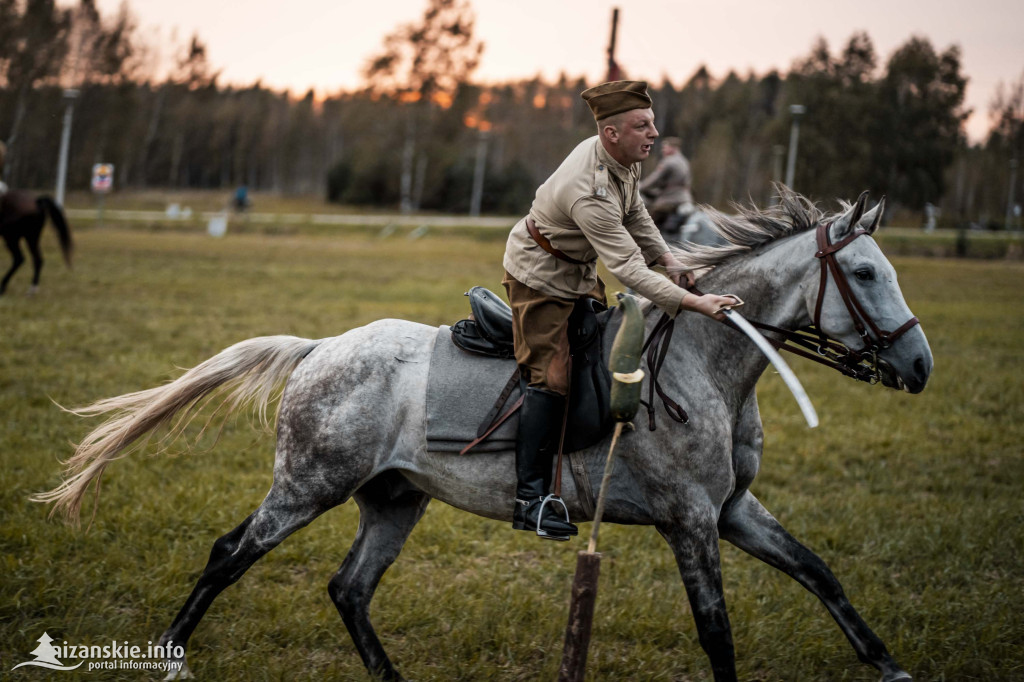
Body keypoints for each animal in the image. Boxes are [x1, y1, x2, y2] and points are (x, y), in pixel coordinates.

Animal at [37, 188, 929, 675]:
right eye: (863, 272)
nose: (920, 366)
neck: (705, 365)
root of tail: (321, 347)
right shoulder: (690, 521)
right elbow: (717, 634)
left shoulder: (733, 511)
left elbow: (820, 574)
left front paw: (891, 666)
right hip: (306, 486)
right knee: (230, 555)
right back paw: (169, 657)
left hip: (393, 499)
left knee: (349, 589)